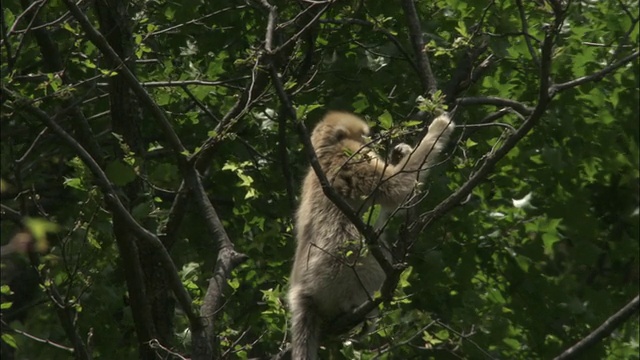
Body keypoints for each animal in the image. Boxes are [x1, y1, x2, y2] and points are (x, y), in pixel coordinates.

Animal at [288, 111, 452, 358]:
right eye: (365, 136)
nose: (372, 141)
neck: (325, 150)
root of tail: (303, 292)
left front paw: (401, 151)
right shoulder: (353, 156)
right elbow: (397, 189)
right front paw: (439, 128)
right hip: (338, 273)